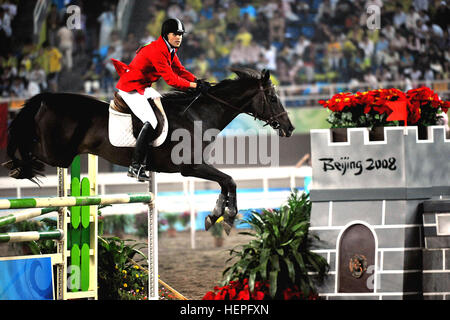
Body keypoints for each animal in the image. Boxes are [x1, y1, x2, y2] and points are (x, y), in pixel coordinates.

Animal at [3, 67, 296, 234]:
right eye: (272, 98)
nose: (290, 128)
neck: (198, 115)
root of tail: (46, 99)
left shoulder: (196, 168)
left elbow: (226, 182)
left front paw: (215, 215)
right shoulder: (190, 167)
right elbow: (230, 180)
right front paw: (227, 217)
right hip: (57, 153)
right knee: (31, 151)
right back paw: (18, 166)